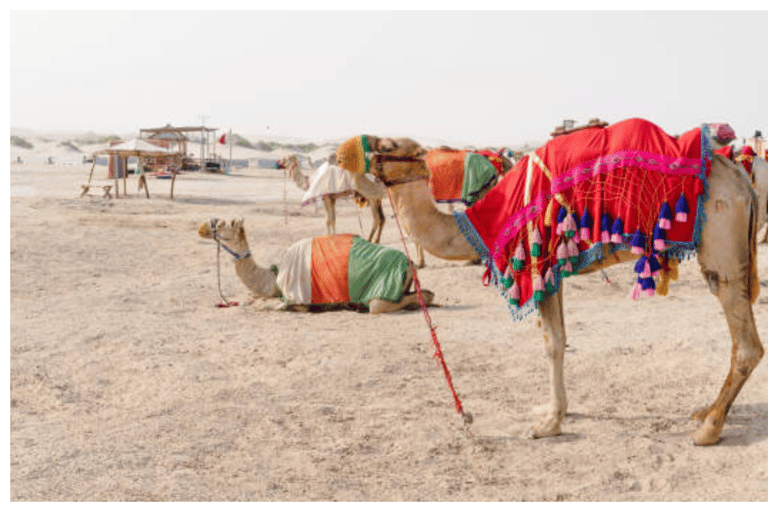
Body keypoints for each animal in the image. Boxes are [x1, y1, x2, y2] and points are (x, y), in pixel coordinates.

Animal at [340, 119, 764, 444]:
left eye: (388, 144)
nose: (342, 152)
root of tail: (742, 181)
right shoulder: (554, 269)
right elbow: (558, 339)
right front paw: (554, 411)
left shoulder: (536, 260)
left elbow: (551, 344)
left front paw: (549, 424)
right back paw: (705, 411)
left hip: (720, 244)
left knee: (745, 342)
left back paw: (710, 428)